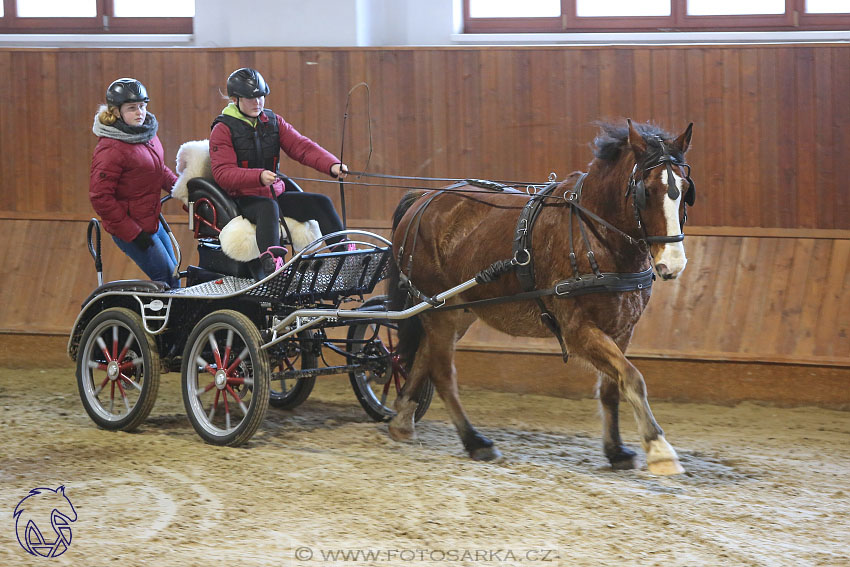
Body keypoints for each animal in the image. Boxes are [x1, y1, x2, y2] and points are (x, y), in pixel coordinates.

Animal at [388, 120, 692, 474]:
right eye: (647, 190)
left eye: (685, 188)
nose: (672, 263)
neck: (595, 234)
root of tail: (424, 197)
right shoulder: (578, 330)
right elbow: (632, 377)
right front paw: (659, 449)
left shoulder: (621, 329)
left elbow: (612, 387)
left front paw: (616, 450)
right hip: (441, 310)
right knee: (442, 372)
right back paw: (474, 441)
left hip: (458, 310)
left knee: (425, 355)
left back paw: (402, 419)